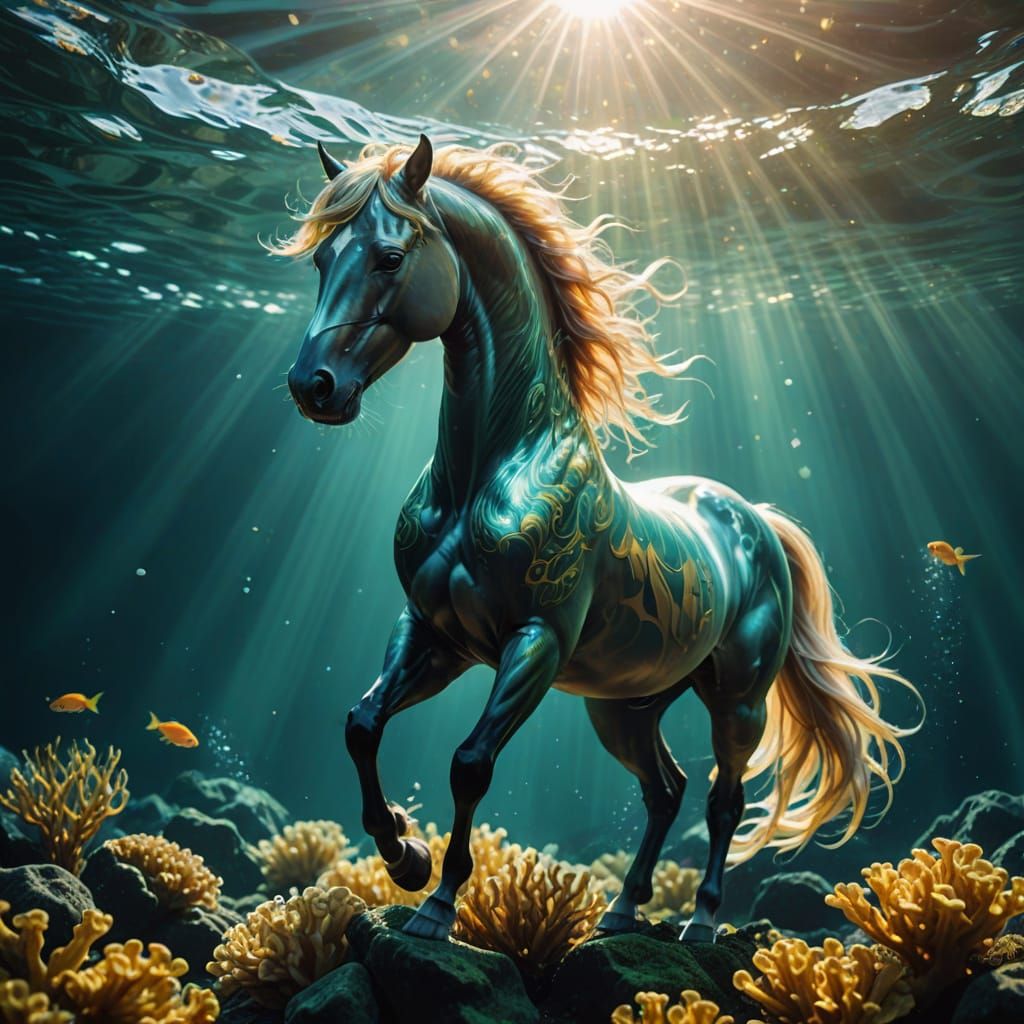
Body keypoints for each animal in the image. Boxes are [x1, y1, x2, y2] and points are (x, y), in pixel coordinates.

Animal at [280, 135, 922, 943]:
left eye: (390, 258)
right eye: (321, 260)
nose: (313, 387)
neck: (492, 472)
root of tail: (755, 518)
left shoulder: (535, 642)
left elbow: (470, 763)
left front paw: (437, 902)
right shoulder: (434, 633)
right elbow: (362, 725)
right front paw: (405, 855)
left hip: (737, 699)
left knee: (723, 799)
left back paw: (700, 922)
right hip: (624, 705)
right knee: (665, 790)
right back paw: (620, 910)